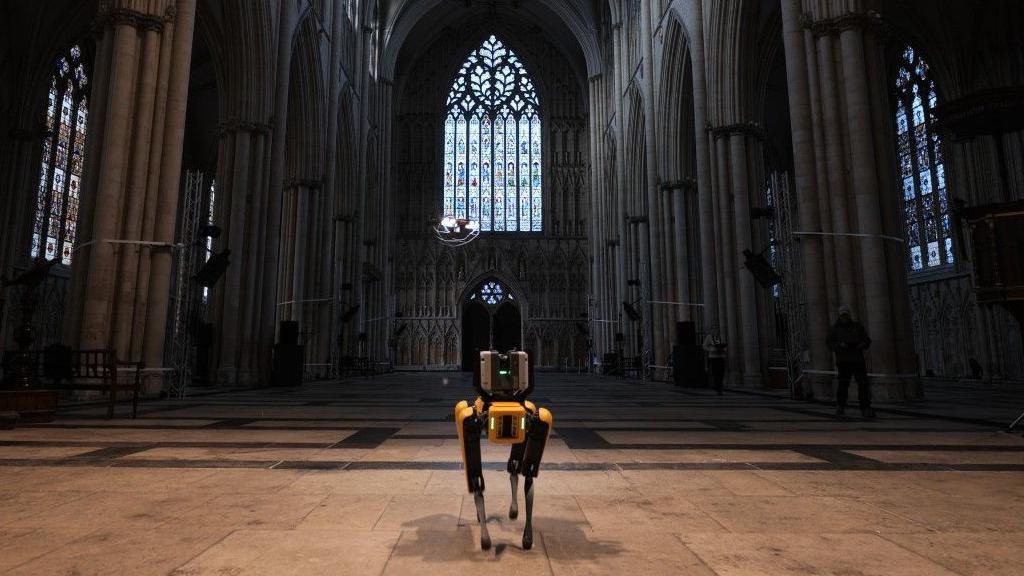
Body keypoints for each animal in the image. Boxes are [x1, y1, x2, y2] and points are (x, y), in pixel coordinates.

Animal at [456, 348, 552, 549]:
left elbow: (529, 475)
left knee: (519, 467)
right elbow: (476, 481)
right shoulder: (470, 420)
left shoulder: (535, 419)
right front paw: (485, 536)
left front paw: (527, 536)